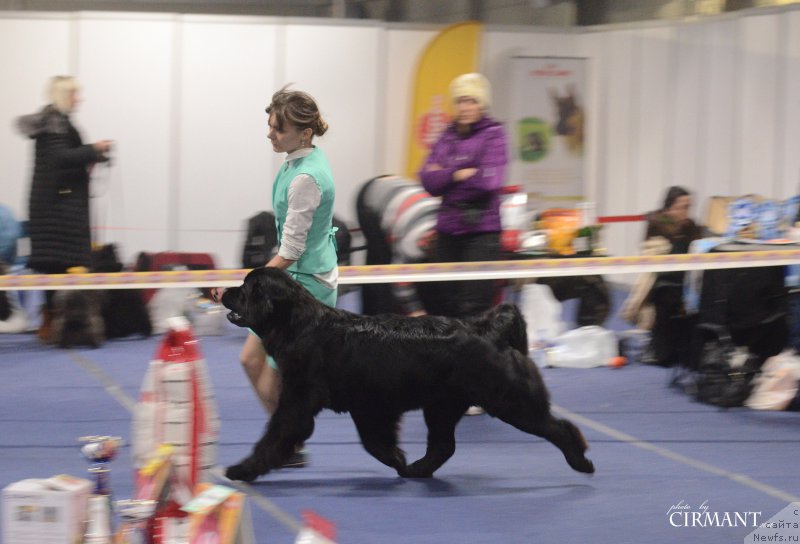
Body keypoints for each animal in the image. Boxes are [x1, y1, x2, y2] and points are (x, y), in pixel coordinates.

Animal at [219, 268, 592, 480]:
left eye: (246, 288)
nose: (222, 290)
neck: (299, 325)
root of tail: (488, 329)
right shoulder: (368, 407)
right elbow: (375, 442)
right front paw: (399, 460)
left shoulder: (299, 403)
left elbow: (274, 437)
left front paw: (242, 470)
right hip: (441, 407)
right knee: (443, 446)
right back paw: (417, 471)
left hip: (510, 400)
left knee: (559, 427)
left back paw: (581, 461)